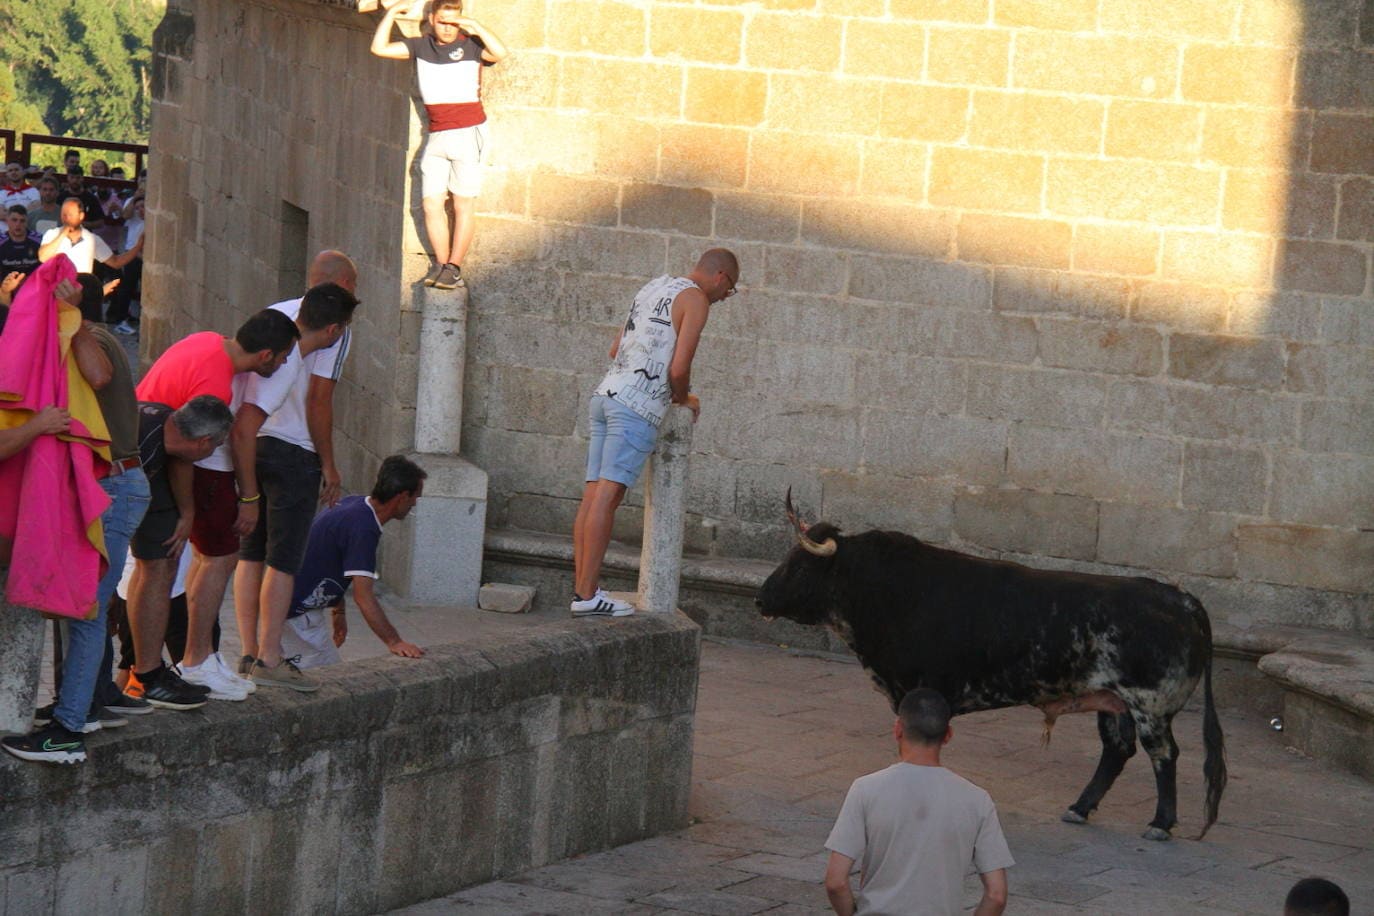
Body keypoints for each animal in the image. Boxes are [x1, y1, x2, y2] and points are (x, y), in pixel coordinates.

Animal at [758, 513, 1231, 840]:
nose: (761, 598)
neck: (883, 590)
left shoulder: (918, 690)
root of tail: (1181, 598)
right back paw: (1080, 807)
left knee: (1163, 754)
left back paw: (1160, 823)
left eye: (799, 567)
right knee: (1117, 750)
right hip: (1112, 702)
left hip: (1148, 705)